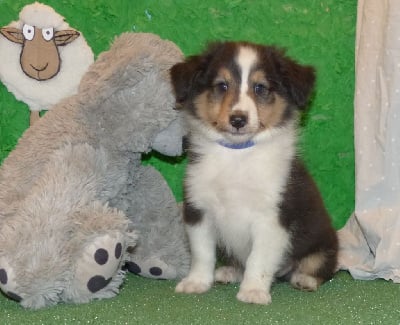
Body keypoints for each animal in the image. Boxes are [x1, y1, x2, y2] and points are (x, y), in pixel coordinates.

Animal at [169, 41, 338, 304]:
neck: (237, 155)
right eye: (222, 85)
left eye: (260, 88)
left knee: (320, 266)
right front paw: (196, 283)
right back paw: (228, 271)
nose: (238, 119)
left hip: (324, 242)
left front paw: (253, 292)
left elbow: (259, 259)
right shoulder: (198, 208)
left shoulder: (272, 217)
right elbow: (202, 253)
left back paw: (304, 280)